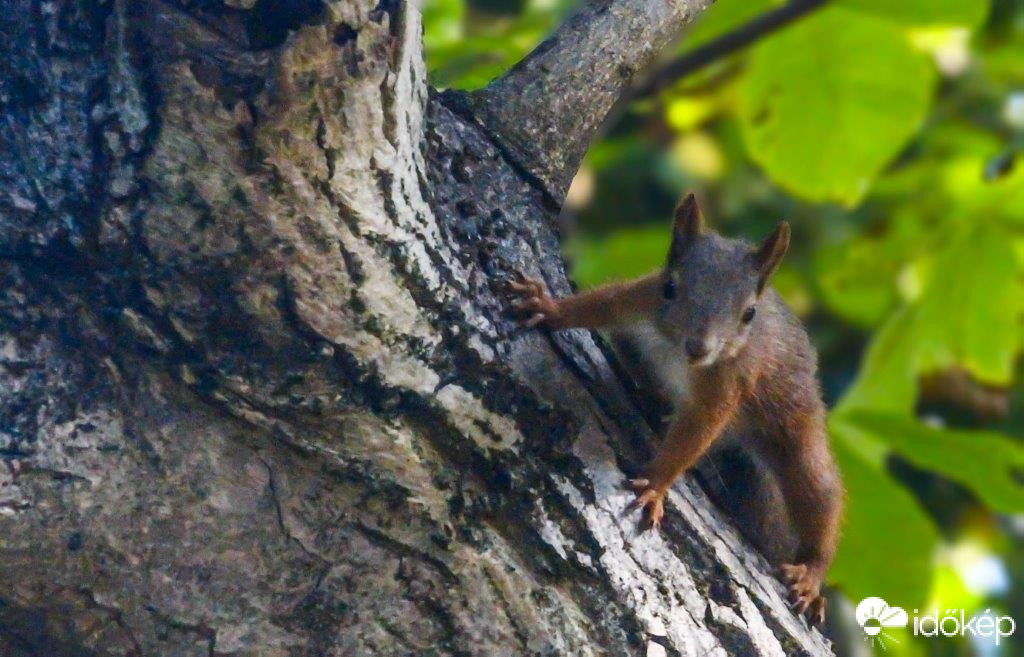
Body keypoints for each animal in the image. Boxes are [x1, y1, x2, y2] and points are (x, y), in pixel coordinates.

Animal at [507, 192, 843, 622]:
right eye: (670, 288)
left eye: (749, 313)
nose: (699, 348)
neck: (677, 354)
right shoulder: (638, 298)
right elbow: (599, 303)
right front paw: (548, 307)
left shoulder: (727, 381)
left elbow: (696, 432)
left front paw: (655, 484)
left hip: (795, 428)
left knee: (820, 495)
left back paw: (811, 575)